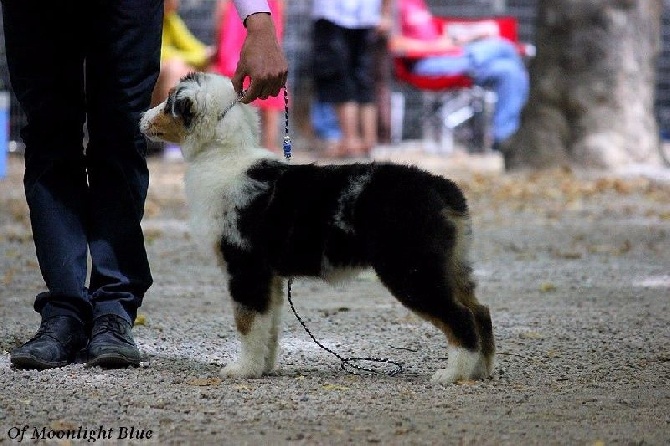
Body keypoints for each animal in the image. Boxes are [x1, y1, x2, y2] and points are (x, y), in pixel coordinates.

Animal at [139, 73, 496, 384]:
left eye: (169, 103)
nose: (141, 116)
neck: (223, 156)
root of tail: (443, 188)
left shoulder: (245, 266)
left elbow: (247, 322)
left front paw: (242, 370)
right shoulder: (270, 276)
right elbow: (268, 325)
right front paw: (263, 367)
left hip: (411, 269)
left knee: (460, 317)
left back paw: (453, 374)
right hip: (448, 264)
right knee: (480, 309)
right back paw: (481, 370)